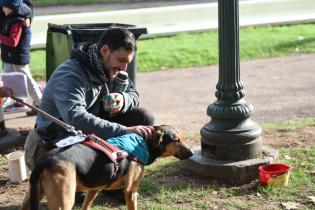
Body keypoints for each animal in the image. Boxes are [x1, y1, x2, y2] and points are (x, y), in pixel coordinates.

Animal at [21, 124, 194, 210]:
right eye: (176, 140)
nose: (192, 152)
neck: (143, 142)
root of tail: (45, 161)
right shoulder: (131, 191)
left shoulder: (94, 190)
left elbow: (86, 206)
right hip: (63, 202)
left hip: (31, 198)